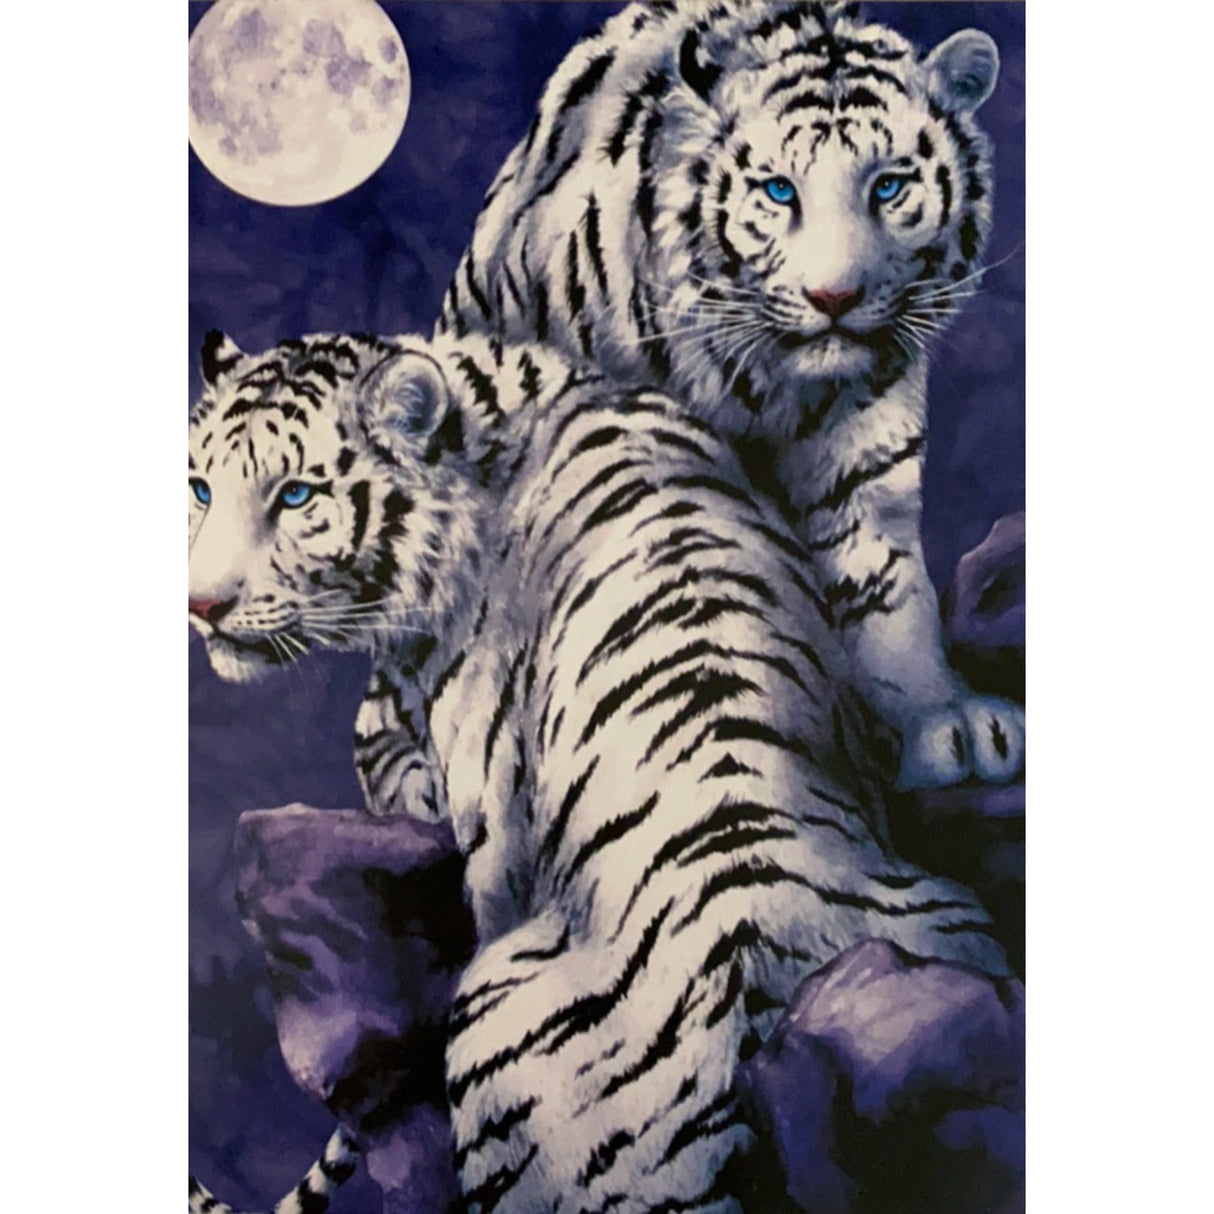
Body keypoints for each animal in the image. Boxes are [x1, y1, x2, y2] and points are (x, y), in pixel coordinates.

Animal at [438, 0, 1025, 792]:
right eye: (779, 190)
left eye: (888, 186)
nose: (834, 297)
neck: (773, 383)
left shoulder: (866, 433)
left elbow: (880, 580)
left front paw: (941, 719)